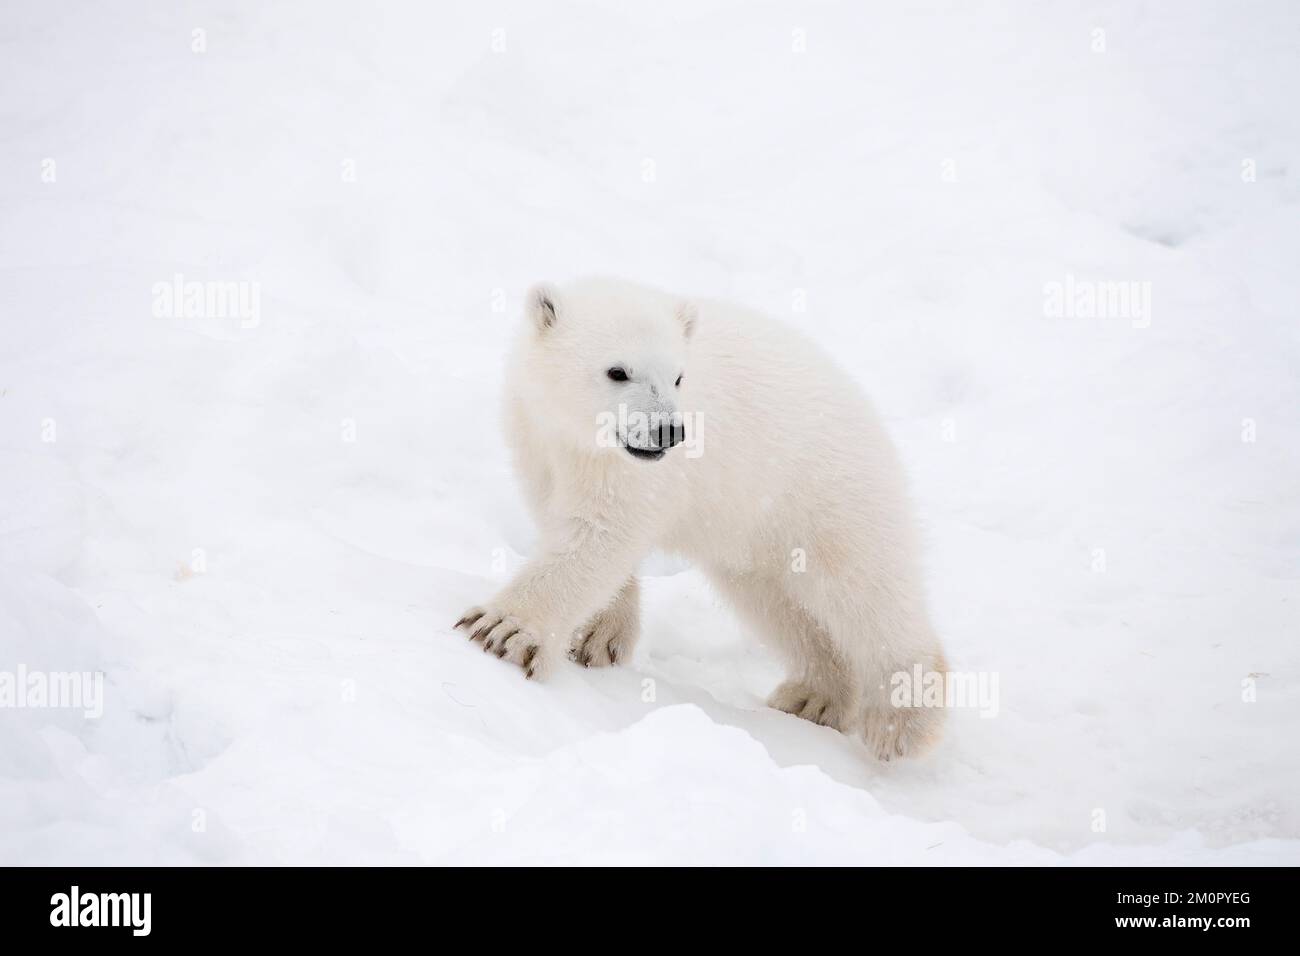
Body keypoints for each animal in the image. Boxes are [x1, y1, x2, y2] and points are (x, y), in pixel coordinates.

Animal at [454, 278, 946, 764]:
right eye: (618, 371)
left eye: (678, 376)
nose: (668, 430)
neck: (580, 441)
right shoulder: (537, 440)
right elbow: (567, 524)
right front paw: (598, 636)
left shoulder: (639, 474)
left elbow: (598, 536)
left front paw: (502, 631)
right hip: (755, 531)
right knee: (777, 604)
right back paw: (814, 697)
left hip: (826, 490)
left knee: (865, 589)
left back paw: (902, 719)